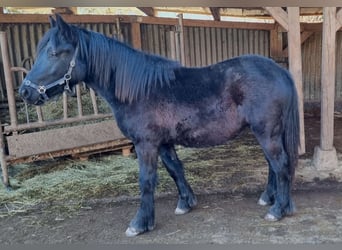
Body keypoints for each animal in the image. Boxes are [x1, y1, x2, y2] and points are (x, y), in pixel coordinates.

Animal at [19, 14, 300, 237]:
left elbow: (146, 180)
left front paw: (140, 223)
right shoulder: (164, 143)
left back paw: (278, 209)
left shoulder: (146, 144)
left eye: (54, 53)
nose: (24, 92)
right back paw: (268, 198)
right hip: (265, 132)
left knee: (280, 164)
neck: (140, 90)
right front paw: (186, 203)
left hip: (266, 132)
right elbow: (176, 170)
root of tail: (279, 71)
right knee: (273, 165)